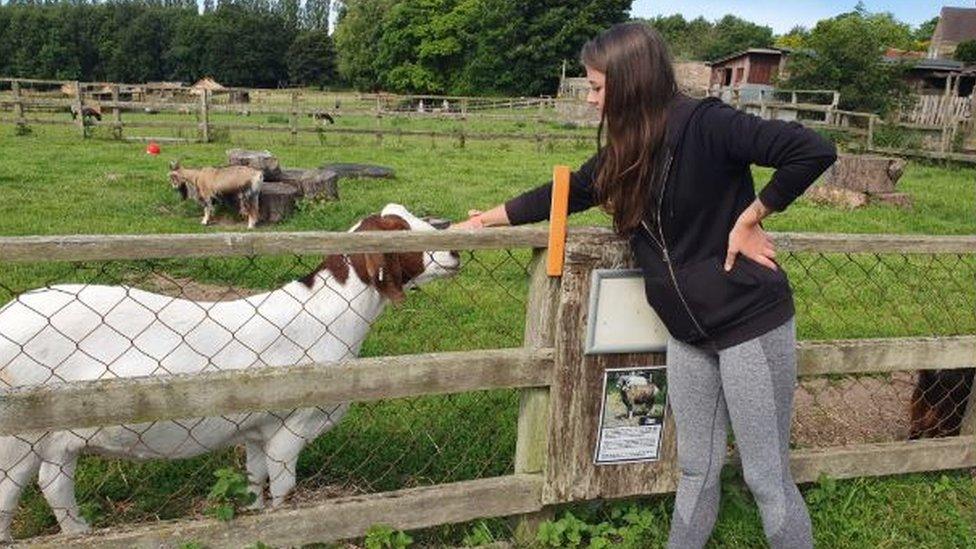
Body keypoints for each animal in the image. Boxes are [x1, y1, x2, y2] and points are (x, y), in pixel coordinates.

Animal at [0, 203, 462, 536]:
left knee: (54, 482)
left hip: (59, 434)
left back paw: (80, 531)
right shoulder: (292, 426)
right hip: (16, 435)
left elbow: (255, 484)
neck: (325, 314)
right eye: (399, 229)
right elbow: (284, 492)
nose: (455, 251)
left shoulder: (256, 429)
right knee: (8, 494)